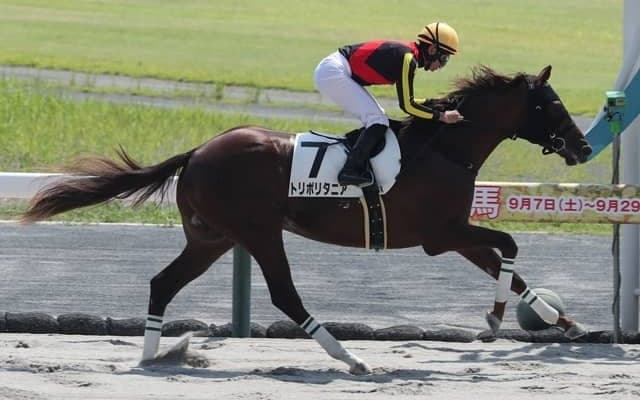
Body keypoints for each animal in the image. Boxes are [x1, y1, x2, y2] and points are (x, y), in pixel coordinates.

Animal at [21, 65, 592, 375]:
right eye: (552, 104)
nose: (584, 147)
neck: (445, 148)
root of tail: (198, 150)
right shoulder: (440, 233)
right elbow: (509, 245)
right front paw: (495, 320)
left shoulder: (453, 233)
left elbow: (509, 266)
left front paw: (564, 321)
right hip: (257, 231)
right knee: (284, 296)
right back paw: (351, 359)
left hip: (213, 237)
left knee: (163, 282)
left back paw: (150, 357)